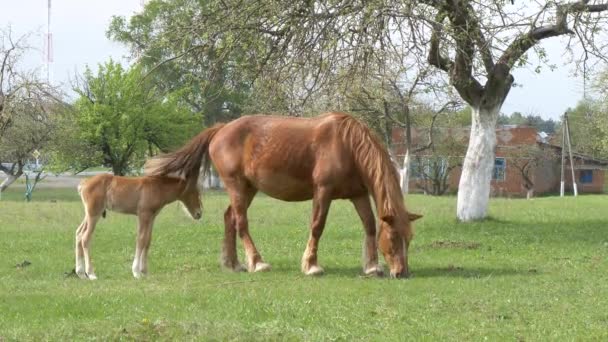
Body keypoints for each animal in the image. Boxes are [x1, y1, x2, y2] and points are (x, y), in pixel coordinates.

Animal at [146, 112, 422, 278]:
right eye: (394, 238)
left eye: (410, 238)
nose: (402, 272)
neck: (347, 145)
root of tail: (221, 129)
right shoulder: (323, 192)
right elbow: (317, 226)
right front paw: (311, 265)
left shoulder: (358, 194)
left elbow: (369, 226)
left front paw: (372, 266)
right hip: (237, 186)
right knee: (241, 222)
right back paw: (257, 263)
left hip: (248, 188)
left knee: (229, 218)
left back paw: (234, 264)